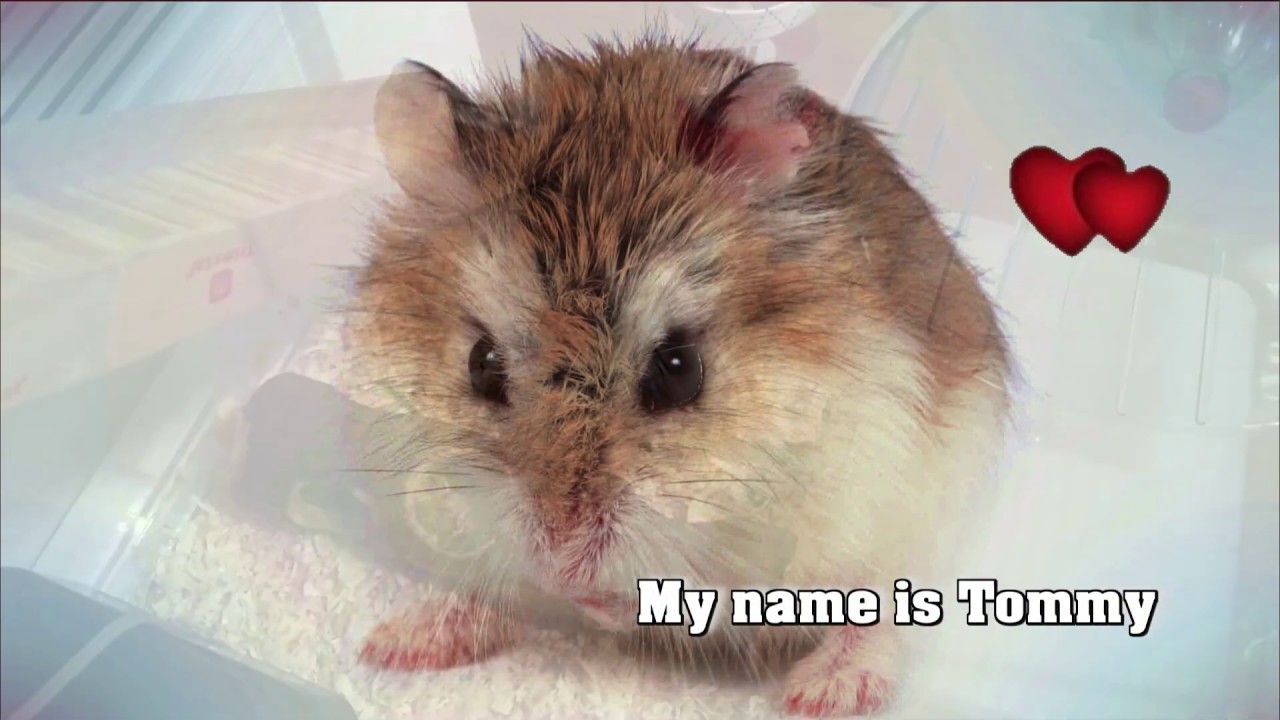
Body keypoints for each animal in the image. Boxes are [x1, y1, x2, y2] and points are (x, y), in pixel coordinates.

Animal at [346, 33, 1012, 718]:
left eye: (679, 372)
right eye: (480, 364)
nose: (561, 568)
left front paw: (600, 604)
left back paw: (825, 691)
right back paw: (398, 642)